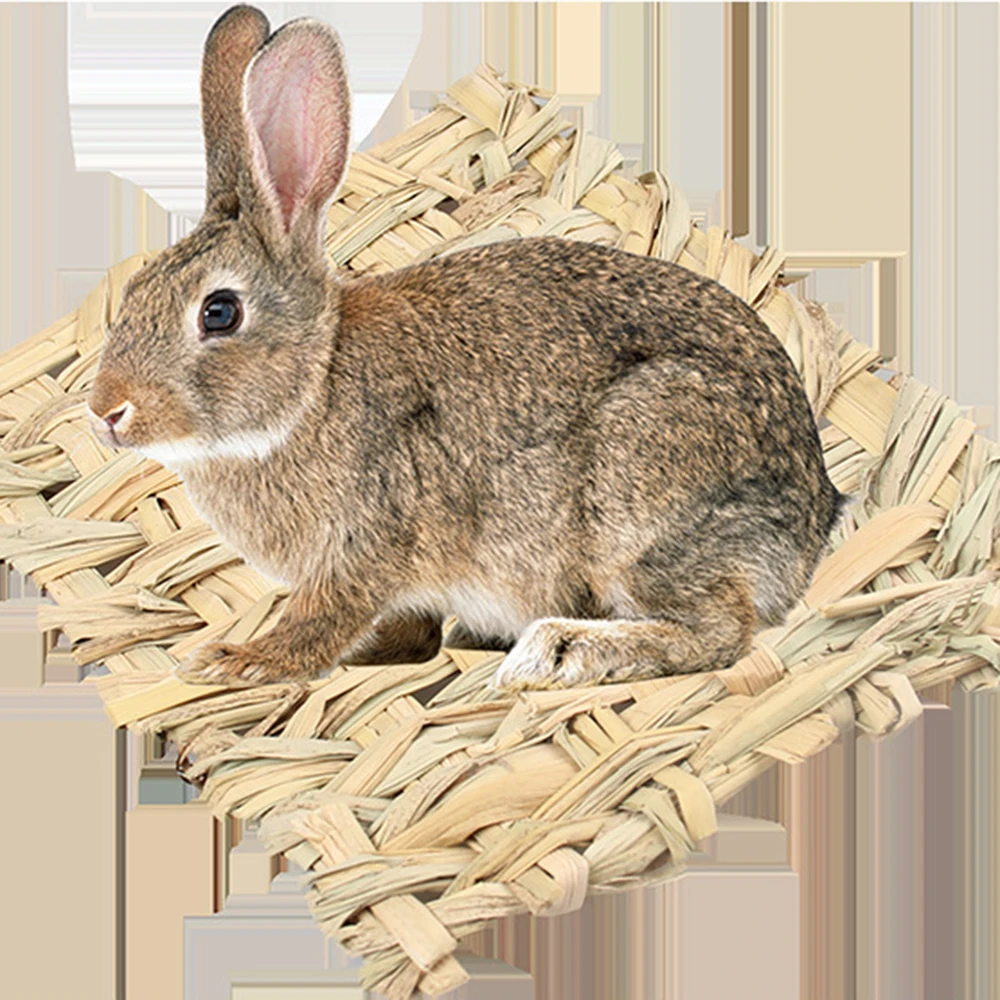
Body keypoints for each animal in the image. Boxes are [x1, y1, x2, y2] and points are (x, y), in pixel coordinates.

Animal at [87, 4, 848, 691]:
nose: (106, 412)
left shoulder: (365, 546)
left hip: (642, 493)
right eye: (134, 291)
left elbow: (321, 620)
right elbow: (406, 632)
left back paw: (559, 652)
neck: (311, 390)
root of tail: (813, 519)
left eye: (218, 313)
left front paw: (237, 661)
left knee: (718, 632)